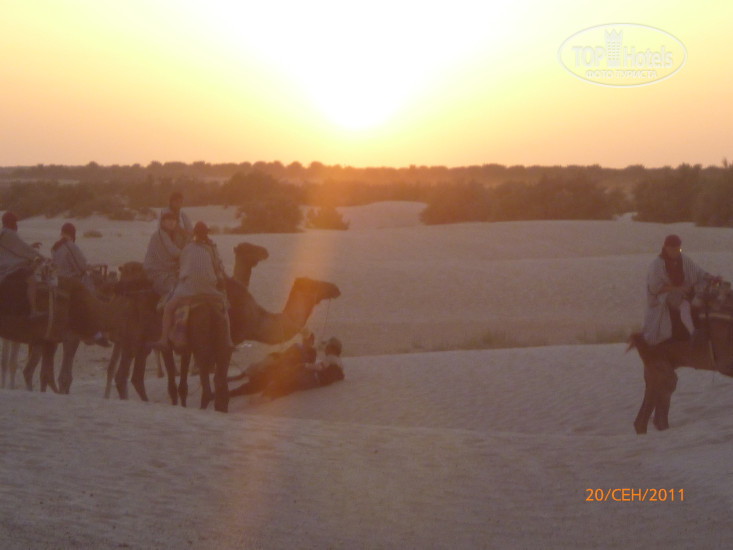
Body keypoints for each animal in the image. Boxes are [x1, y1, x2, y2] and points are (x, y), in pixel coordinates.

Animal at [629, 281, 733, 434]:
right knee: (655, 414)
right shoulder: (724, 363)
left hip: (655, 371)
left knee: (650, 417)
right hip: (660, 370)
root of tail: (638, 338)